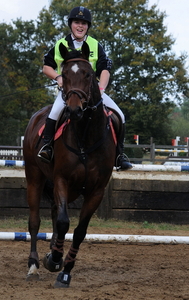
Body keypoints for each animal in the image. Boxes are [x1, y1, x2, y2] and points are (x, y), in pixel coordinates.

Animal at [23, 41, 121, 288]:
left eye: (88, 74)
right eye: (65, 75)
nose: (75, 110)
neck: (85, 134)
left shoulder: (96, 191)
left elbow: (79, 231)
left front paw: (65, 272)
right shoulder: (62, 180)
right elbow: (63, 223)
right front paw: (54, 259)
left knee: (54, 213)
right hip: (34, 177)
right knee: (35, 221)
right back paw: (34, 265)